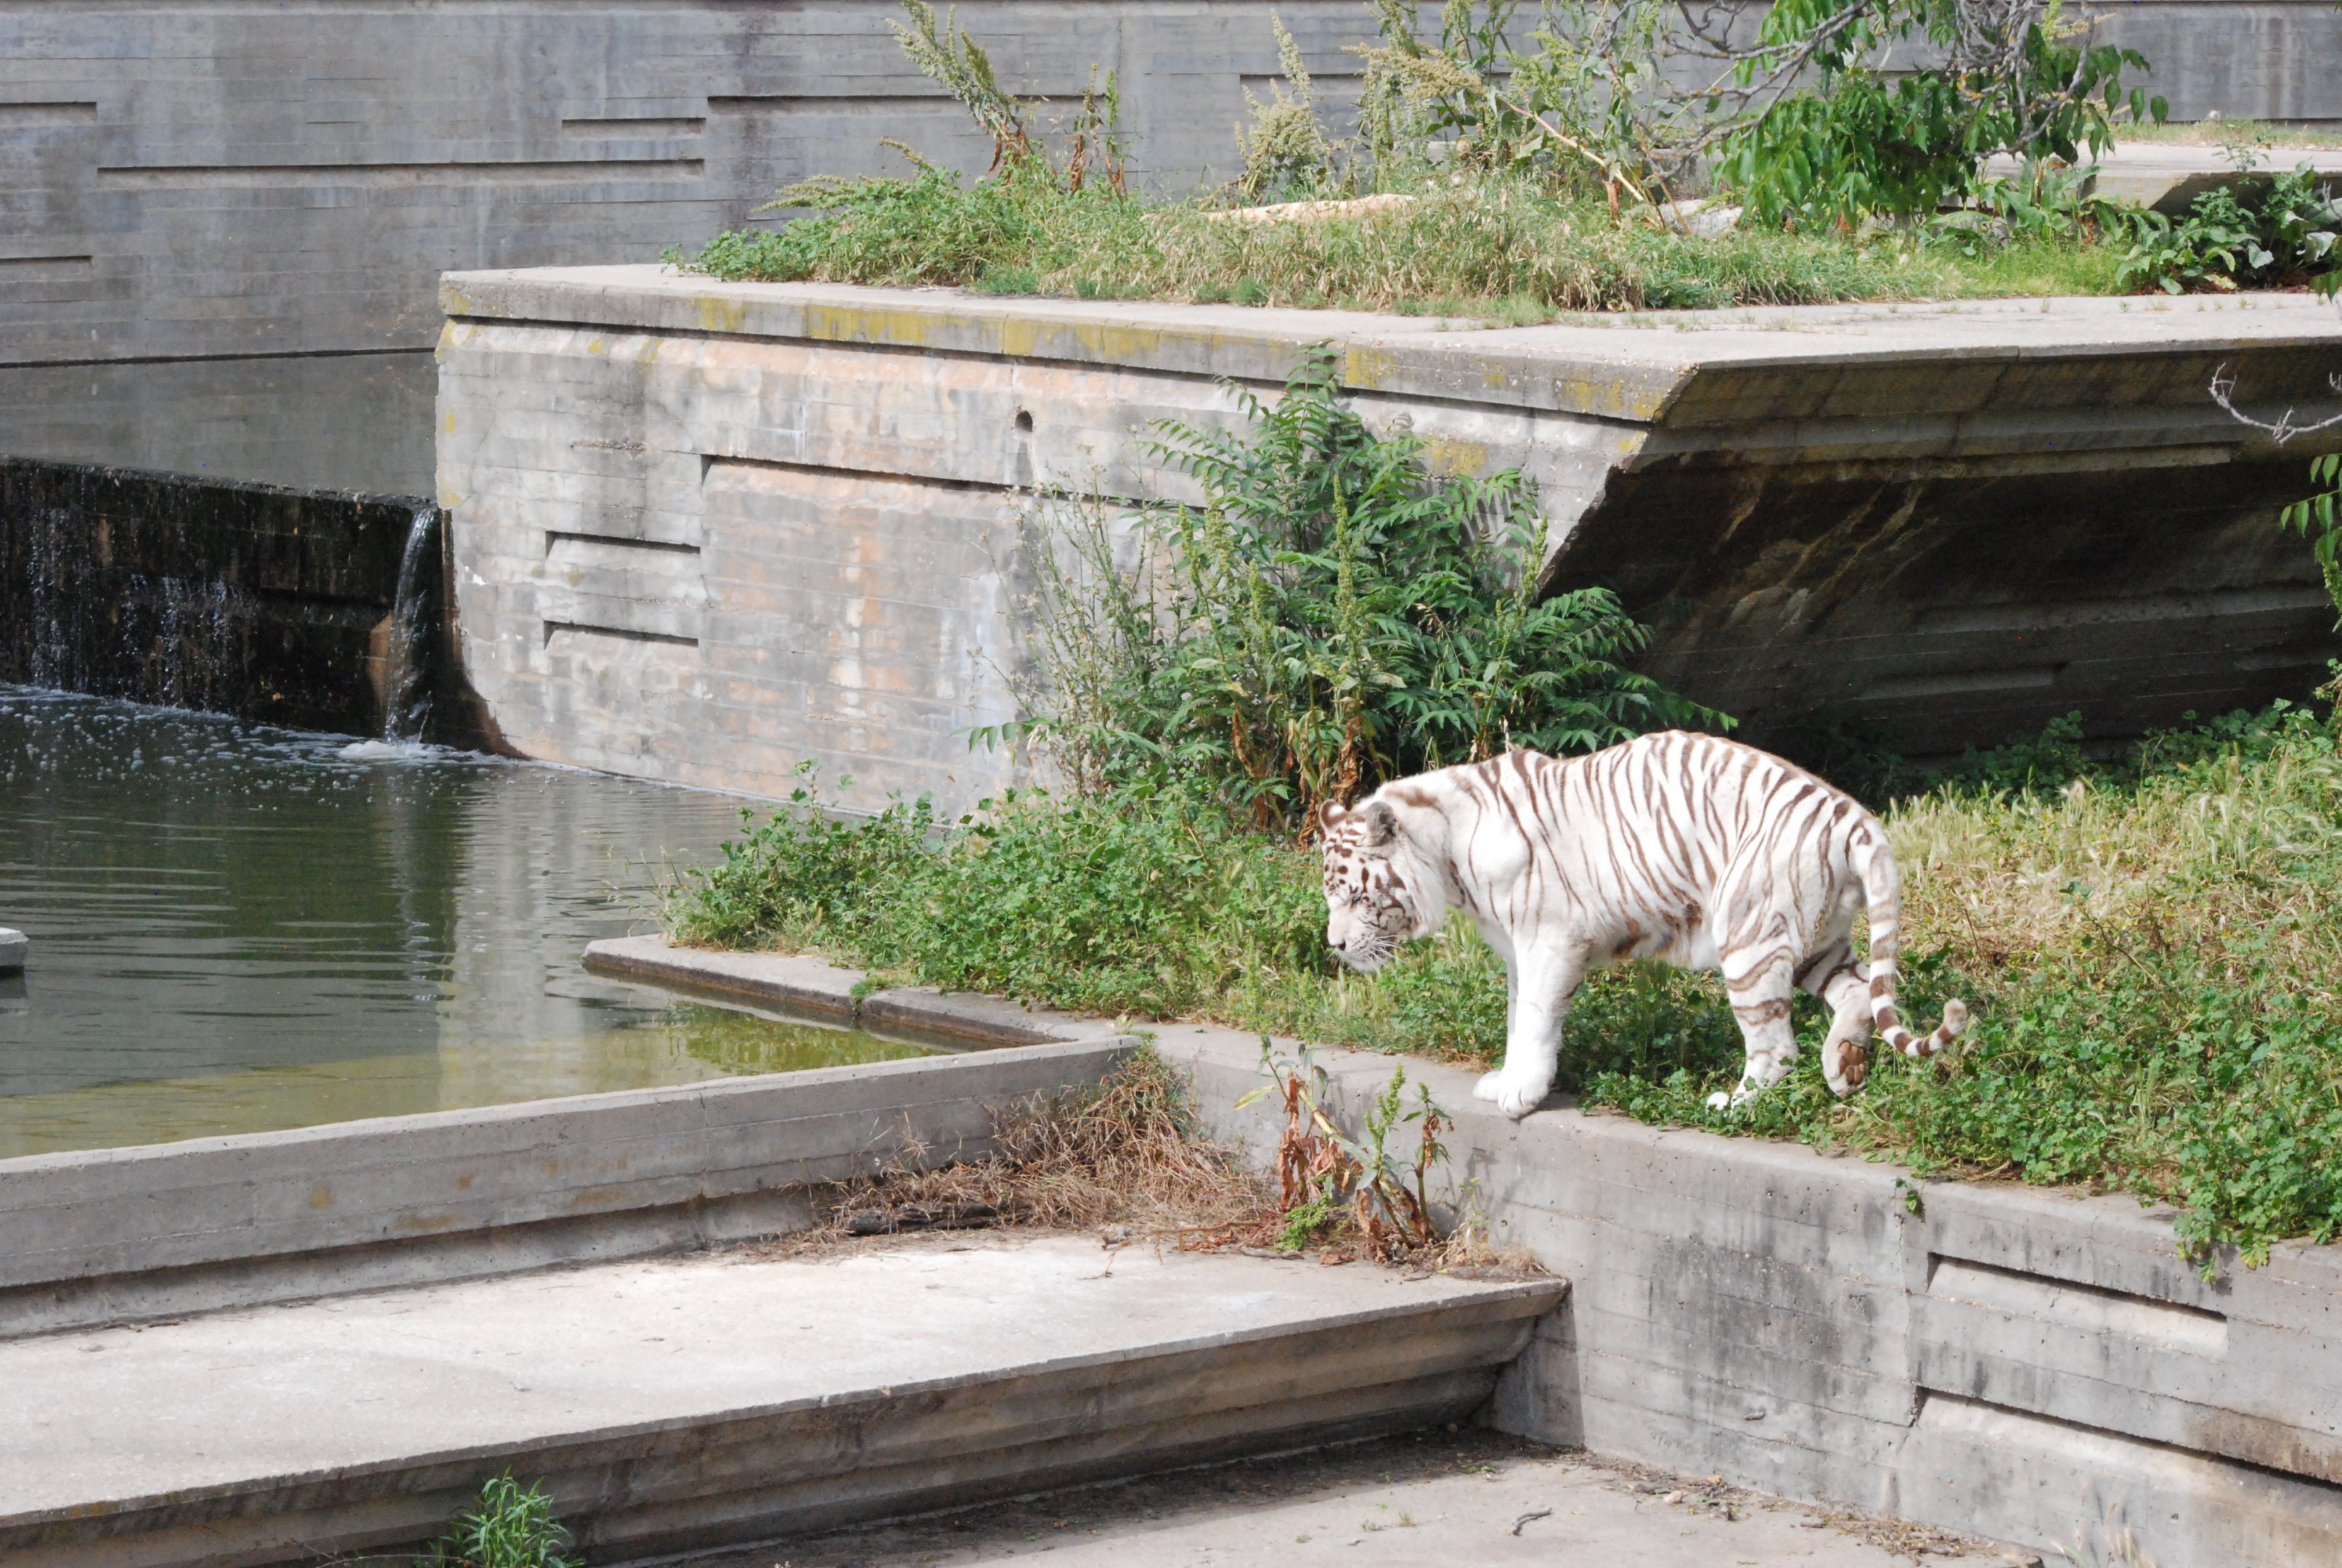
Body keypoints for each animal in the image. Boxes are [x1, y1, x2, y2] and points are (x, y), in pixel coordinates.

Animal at [1317, 731, 1966, 1119]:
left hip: (1749, 935)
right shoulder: (1518, 950)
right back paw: (1845, 1068)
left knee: (1777, 1048)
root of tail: (1853, 815)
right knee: (1855, 992)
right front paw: (1504, 1080)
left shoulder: (1549, 940)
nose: (1336, 945)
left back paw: (1735, 1104)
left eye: (1352, 894)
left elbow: (1535, 1021)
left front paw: (1521, 1094)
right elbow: (1516, 1016)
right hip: (1815, 936)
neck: (1446, 853)